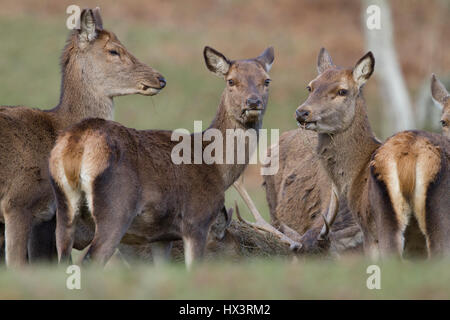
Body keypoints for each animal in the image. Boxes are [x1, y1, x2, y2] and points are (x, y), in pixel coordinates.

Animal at [51, 45, 278, 268]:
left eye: (266, 80)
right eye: (231, 81)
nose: (253, 101)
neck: (217, 168)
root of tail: (77, 142)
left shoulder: (162, 237)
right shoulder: (197, 220)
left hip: (64, 208)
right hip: (116, 209)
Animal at [298, 48, 448, 258]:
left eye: (342, 91)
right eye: (310, 87)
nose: (302, 113)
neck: (354, 175)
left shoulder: (366, 228)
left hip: (386, 220)